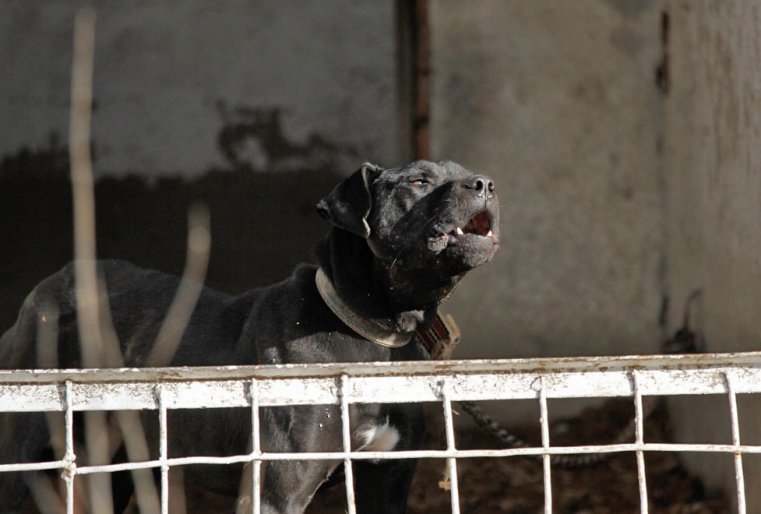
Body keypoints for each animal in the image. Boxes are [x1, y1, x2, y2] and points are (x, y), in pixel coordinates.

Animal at [0, 158, 498, 510]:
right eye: (418, 181)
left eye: (464, 172)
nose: (487, 184)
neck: (372, 335)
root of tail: (42, 292)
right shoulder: (277, 490)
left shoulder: (387, 485)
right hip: (21, 451)